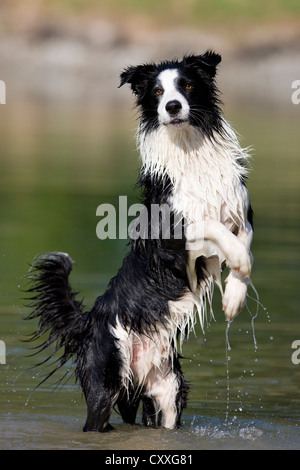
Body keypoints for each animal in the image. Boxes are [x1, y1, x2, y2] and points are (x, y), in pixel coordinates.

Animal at [27, 50, 254, 430]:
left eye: (187, 85)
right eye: (157, 92)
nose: (173, 107)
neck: (188, 146)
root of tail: (89, 322)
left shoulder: (241, 212)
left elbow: (243, 240)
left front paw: (234, 297)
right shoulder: (171, 236)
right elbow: (213, 227)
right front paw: (238, 260)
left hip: (167, 394)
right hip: (104, 383)